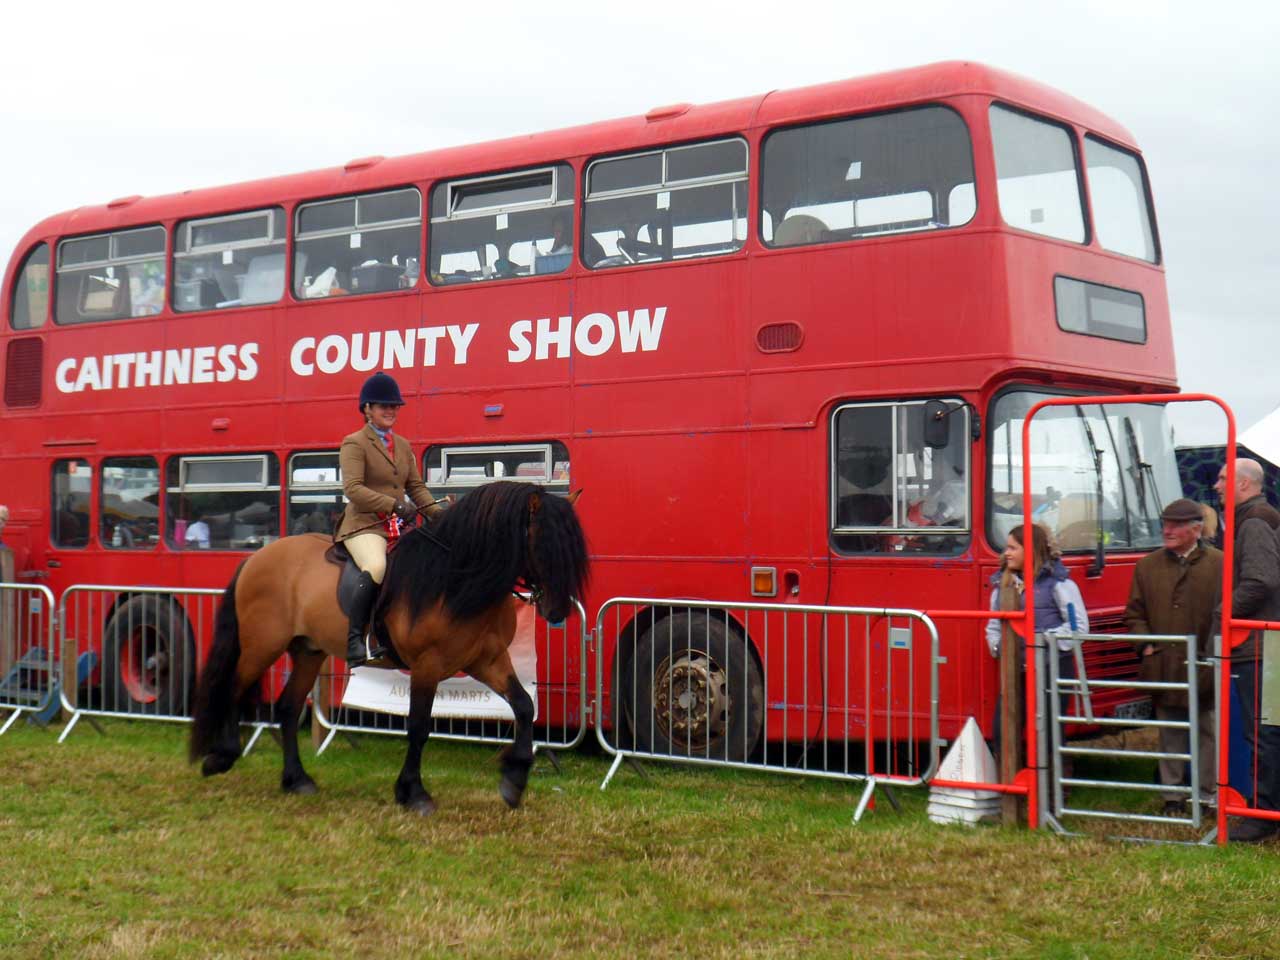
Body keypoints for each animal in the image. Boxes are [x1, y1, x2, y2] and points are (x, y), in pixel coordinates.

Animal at [189, 483, 588, 814]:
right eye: (542, 545)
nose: (557, 612)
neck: (458, 581)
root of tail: (258, 556)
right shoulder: (428, 664)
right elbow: (419, 726)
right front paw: (414, 793)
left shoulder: (487, 660)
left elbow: (523, 706)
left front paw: (514, 781)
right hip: (262, 645)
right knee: (234, 689)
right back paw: (220, 758)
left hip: (308, 651)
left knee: (287, 707)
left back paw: (297, 780)